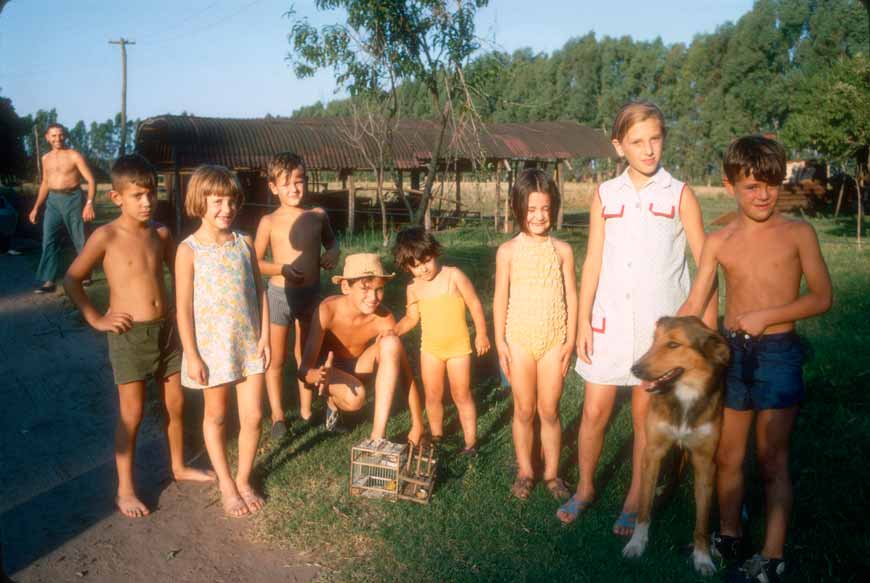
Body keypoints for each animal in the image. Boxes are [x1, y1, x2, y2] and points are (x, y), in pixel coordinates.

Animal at [624, 314, 732, 576]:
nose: (634, 369)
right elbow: (644, 507)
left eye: (673, 345)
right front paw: (636, 543)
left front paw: (702, 558)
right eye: (654, 340)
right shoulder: (653, 452)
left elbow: (702, 522)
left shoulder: (705, 461)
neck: (685, 396)